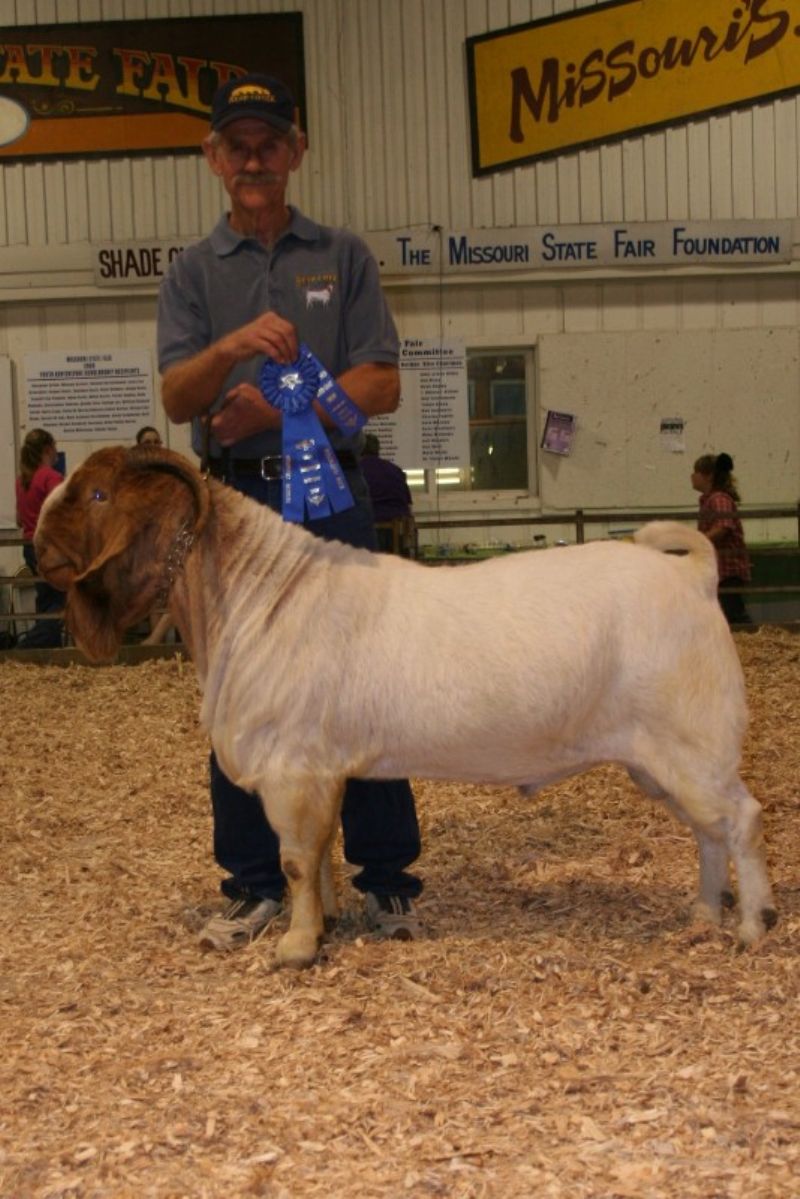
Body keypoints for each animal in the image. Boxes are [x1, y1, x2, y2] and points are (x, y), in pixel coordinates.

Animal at [35, 446, 777, 968]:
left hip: (694, 743)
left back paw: (750, 925)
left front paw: (295, 948)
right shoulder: (322, 771)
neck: (257, 594)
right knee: (709, 832)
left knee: (740, 819)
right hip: (661, 761)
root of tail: (692, 575)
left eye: (98, 494)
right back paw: (704, 915)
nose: (37, 542)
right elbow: (321, 854)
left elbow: (297, 859)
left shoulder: (292, 766)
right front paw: (325, 923)